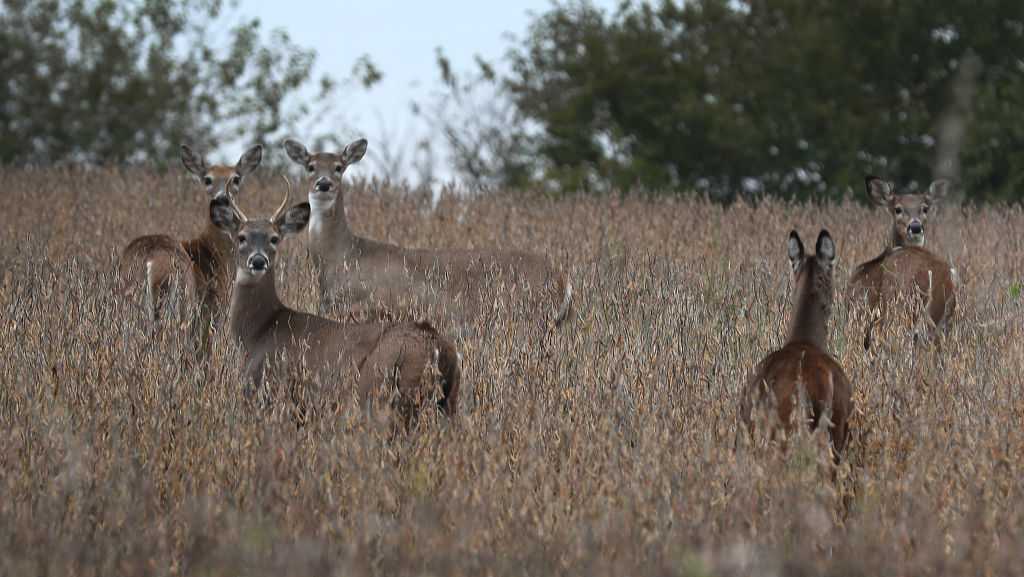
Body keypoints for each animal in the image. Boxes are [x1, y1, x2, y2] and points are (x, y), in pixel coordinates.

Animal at [120, 144, 263, 327]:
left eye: (236, 179)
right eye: (208, 179)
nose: (222, 199)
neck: (215, 252)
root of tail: (151, 258)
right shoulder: (211, 311)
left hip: (128, 303)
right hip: (182, 302)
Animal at [208, 182, 461, 423]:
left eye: (274, 238)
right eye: (241, 237)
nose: (258, 260)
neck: (258, 332)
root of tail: (436, 345)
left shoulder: (264, 388)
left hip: (377, 389)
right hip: (449, 401)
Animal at [281, 138, 573, 331]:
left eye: (339, 166)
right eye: (310, 166)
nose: (324, 184)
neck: (343, 256)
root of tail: (563, 280)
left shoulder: (374, 310)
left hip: (526, 318)